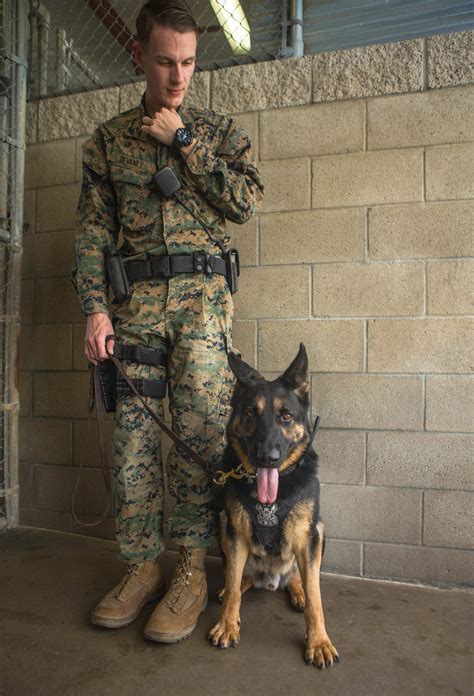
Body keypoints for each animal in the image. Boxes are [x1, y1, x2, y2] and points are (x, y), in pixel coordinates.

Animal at [209, 346, 338, 668]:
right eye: (250, 413)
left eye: (286, 416)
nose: (267, 458)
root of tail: (269, 580)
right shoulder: (236, 533)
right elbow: (233, 585)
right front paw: (227, 624)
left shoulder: (308, 537)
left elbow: (316, 598)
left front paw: (318, 641)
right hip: (222, 523)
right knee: (240, 578)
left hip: (320, 529)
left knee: (297, 576)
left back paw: (297, 589)